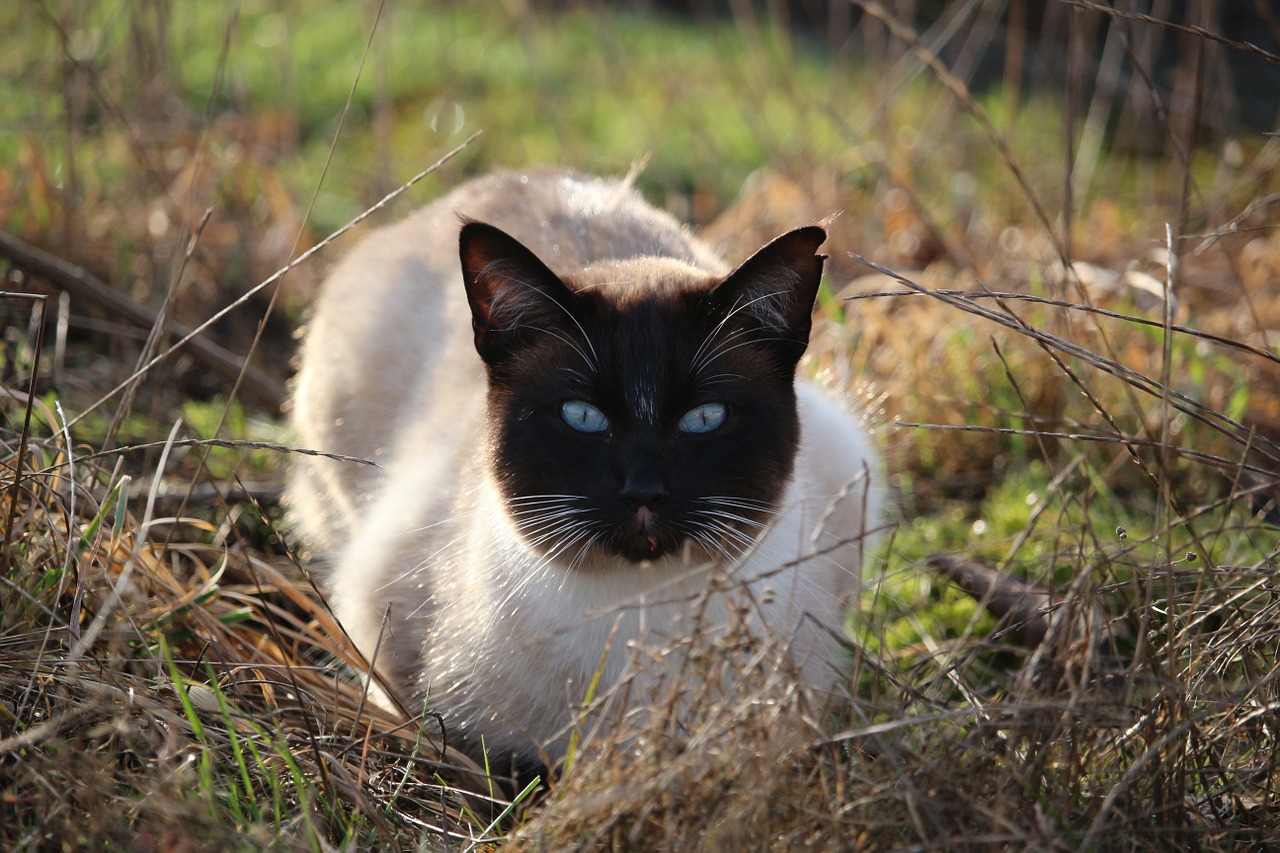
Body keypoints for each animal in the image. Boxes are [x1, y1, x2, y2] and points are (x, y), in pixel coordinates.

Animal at [291, 167, 885, 778]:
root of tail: (500, 178)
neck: (640, 617)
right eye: (582, 417)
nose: (643, 491)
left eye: (703, 419)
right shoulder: (384, 620)